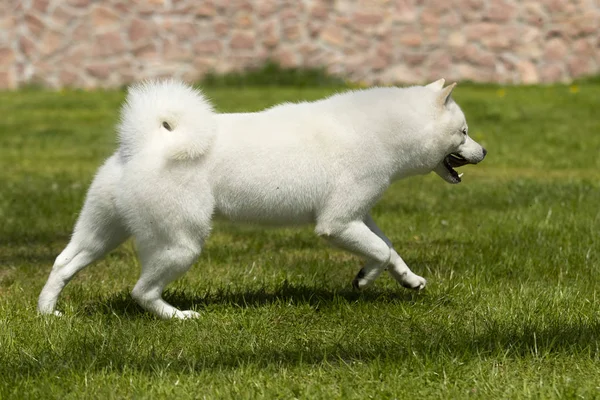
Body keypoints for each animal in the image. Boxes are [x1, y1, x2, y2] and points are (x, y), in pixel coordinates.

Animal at [37, 79, 488, 320]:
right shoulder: (337, 223)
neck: (383, 130)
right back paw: (179, 317)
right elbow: (378, 251)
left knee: (62, 264)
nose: (484, 152)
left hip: (101, 235)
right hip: (180, 244)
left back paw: (47, 313)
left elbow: (389, 248)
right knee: (141, 292)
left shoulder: (357, 215)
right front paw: (365, 278)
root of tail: (145, 142)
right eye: (464, 132)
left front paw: (405, 280)